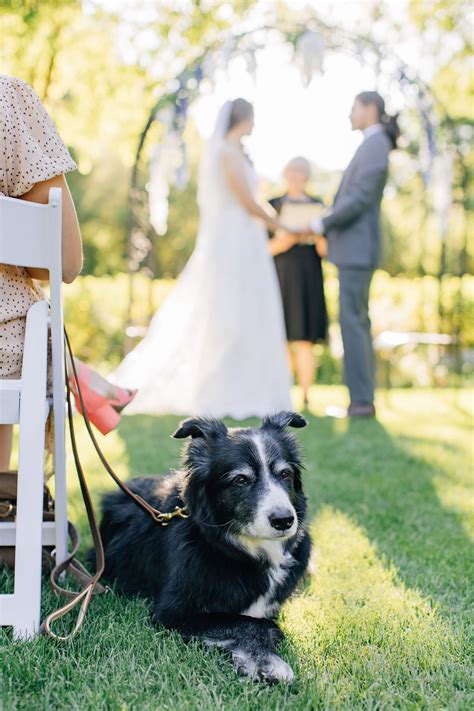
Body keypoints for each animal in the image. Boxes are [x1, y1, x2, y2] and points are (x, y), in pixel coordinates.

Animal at [95, 412, 312, 684]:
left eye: (284, 474)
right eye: (240, 480)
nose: (284, 520)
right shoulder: (171, 613)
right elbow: (253, 623)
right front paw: (267, 662)